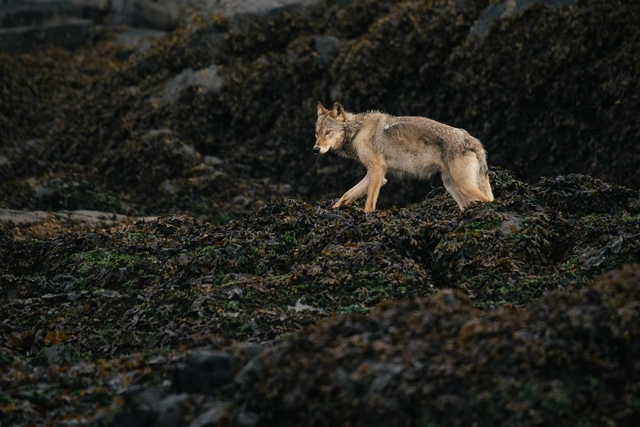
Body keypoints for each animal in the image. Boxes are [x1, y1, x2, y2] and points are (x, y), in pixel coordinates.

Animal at [314, 101, 494, 213]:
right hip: (453, 187)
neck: (357, 130)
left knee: (489, 201)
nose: (315, 149)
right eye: (316, 133)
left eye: (328, 132)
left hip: (463, 186)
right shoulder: (377, 174)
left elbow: (369, 205)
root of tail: (472, 139)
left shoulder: (377, 169)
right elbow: (345, 195)